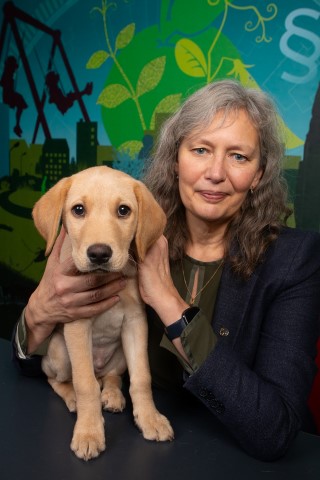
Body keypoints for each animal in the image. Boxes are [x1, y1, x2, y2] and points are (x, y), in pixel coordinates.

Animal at [31, 167, 172, 460]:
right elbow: (85, 384)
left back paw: (112, 395)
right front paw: (88, 432)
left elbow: (141, 377)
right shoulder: (76, 322)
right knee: (57, 377)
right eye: (78, 210)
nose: (99, 254)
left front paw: (150, 418)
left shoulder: (135, 322)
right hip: (60, 351)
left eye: (123, 210)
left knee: (111, 377)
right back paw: (73, 396)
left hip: (118, 355)